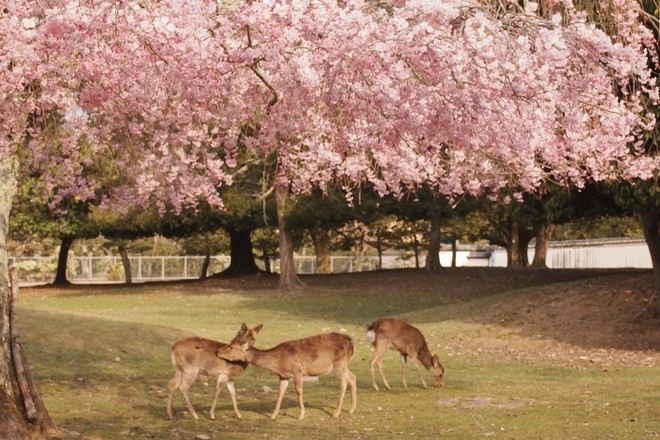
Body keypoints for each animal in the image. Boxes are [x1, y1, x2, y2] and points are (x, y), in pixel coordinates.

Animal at [216, 324, 357, 420]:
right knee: (352, 377)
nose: (217, 352)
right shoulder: (283, 376)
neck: (278, 362)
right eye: (230, 342)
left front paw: (301, 415)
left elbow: (299, 392)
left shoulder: (297, 371)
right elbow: (280, 393)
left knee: (344, 382)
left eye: (231, 346)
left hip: (339, 363)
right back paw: (351, 409)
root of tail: (352, 343)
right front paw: (273, 415)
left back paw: (336, 413)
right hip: (345, 364)